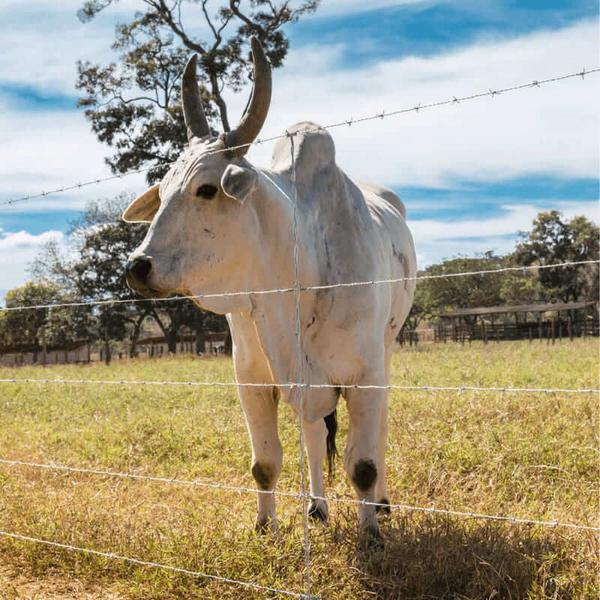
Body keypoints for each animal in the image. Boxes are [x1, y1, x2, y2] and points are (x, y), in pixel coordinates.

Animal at [125, 37, 418, 536]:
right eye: (161, 193)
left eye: (207, 189)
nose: (136, 266)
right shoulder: (253, 377)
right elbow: (266, 463)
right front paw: (265, 527)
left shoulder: (365, 376)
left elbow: (362, 464)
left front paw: (371, 533)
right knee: (314, 434)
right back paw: (317, 507)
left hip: (388, 348)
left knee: (377, 434)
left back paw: (379, 505)